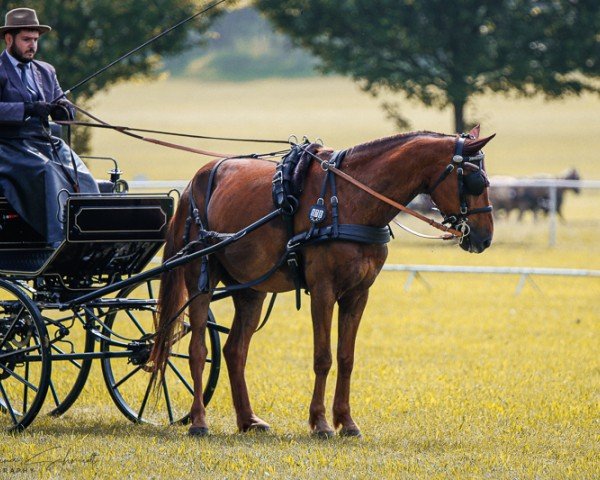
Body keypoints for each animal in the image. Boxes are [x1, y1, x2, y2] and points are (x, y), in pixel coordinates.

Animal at [149, 125, 492, 436]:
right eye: (475, 181)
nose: (484, 238)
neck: (352, 198)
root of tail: (194, 182)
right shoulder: (323, 290)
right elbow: (323, 357)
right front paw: (321, 423)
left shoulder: (358, 293)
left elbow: (346, 357)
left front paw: (347, 422)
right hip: (200, 277)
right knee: (198, 349)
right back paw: (199, 421)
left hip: (252, 288)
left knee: (235, 351)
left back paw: (249, 420)